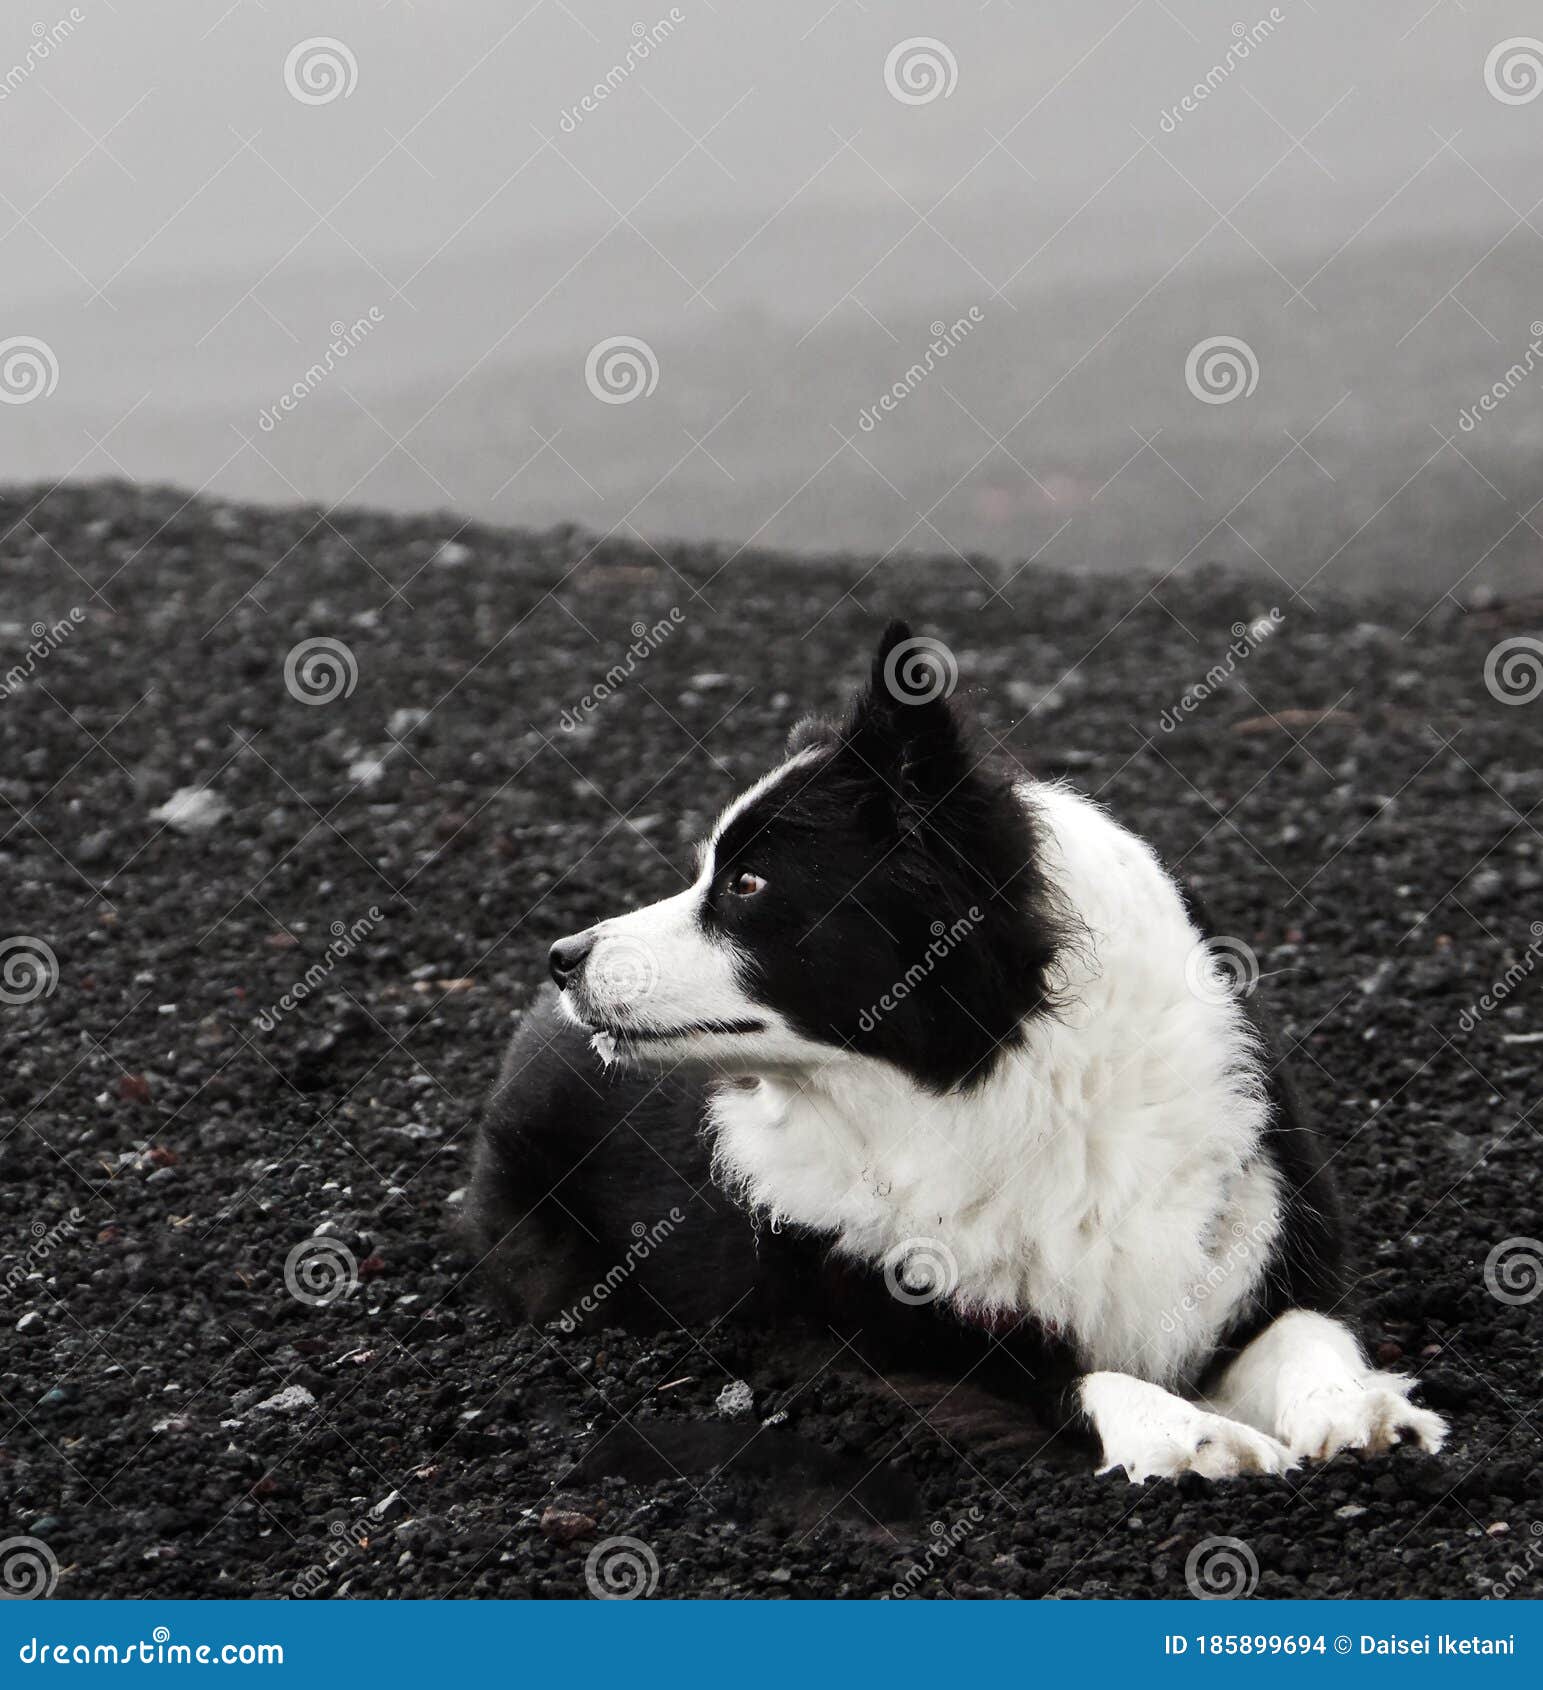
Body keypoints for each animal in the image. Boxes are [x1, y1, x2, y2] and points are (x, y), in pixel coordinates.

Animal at [469, 621, 1446, 1480]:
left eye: (745, 883)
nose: (561, 956)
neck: (994, 1089)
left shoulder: (1262, 1245)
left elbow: (1308, 1331)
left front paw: (1357, 1408)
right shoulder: (867, 1346)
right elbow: (1072, 1378)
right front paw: (1191, 1435)